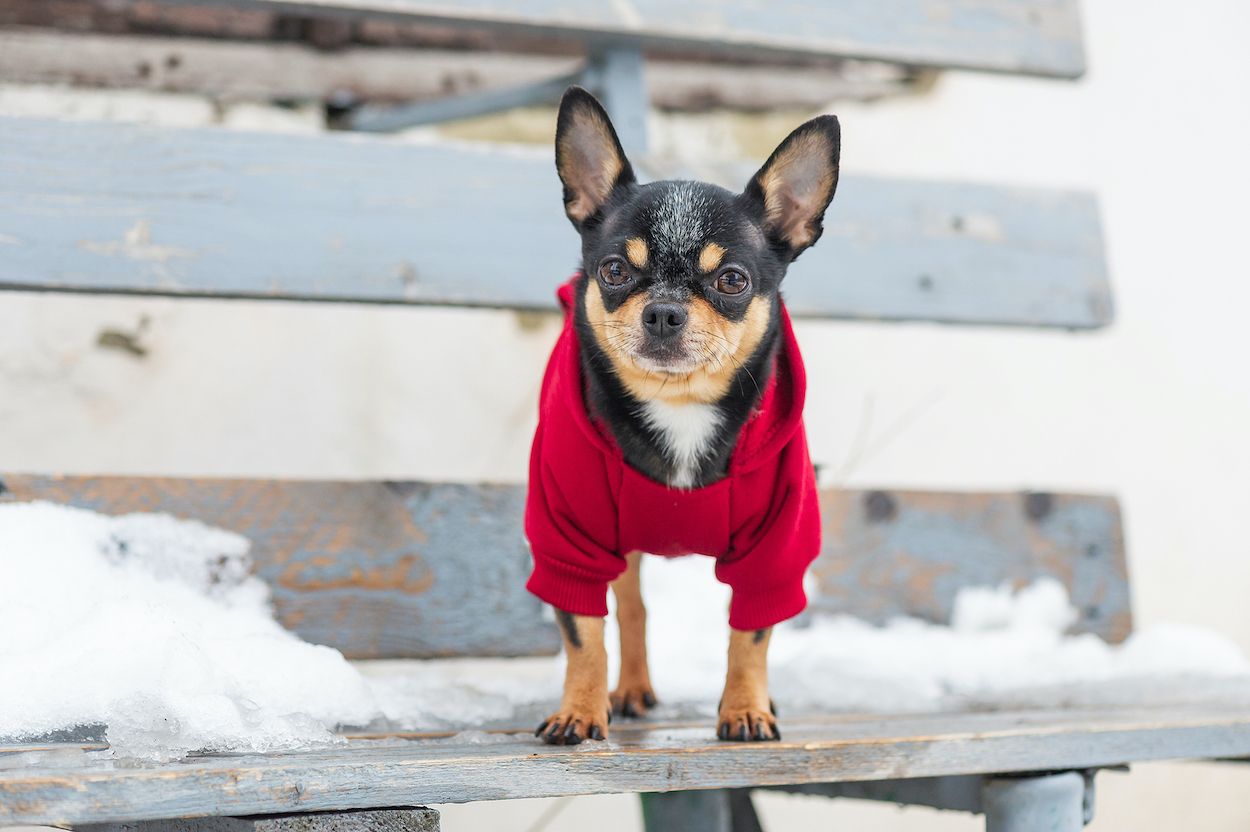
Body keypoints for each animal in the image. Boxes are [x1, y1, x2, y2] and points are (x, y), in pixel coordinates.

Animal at [522, 87, 835, 739]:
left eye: (732, 281)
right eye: (614, 270)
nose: (664, 311)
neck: (679, 404)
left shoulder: (773, 553)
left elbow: (751, 634)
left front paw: (744, 708)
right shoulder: (571, 542)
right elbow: (585, 635)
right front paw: (579, 710)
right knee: (632, 609)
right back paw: (630, 689)